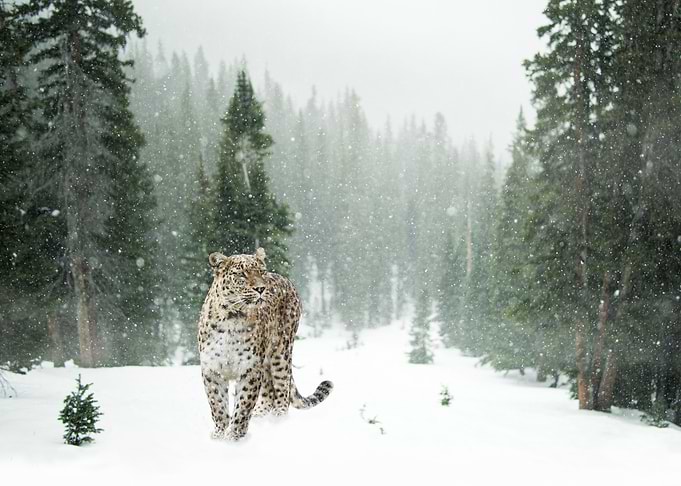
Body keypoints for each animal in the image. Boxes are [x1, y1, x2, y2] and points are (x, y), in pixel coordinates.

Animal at [198, 247, 333, 441]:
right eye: (241, 274)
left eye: (261, 272)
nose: (261, 288)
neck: (232, 318)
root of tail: (285, 279)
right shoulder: (212, 369)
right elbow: (217, 405)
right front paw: (219, 434)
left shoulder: (250, 369)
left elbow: (243, 404)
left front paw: (234, 436)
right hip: (267, 362)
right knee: (269, 392)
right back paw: (260, 416)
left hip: (281, 353)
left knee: (282, 390)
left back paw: (278, 422)